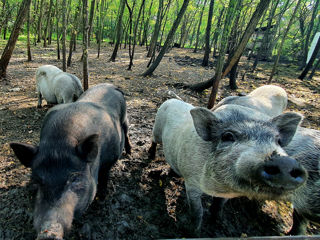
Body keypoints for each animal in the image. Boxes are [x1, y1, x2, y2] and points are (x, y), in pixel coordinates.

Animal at [10, 83, 130, 239]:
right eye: (36, 181)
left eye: (74, 179)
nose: (48, 231)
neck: (59, 144)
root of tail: (111, 85)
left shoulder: (109, 161)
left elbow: (104, 178)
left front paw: (102, 199)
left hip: (125, 119)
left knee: (127, 133)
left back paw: (129, 153)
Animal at [149, 98, 308, 233]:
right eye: (227, 136)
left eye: (278, 141)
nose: (286, 163)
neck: (216, 188)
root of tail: (171, 100)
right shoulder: (191, 182)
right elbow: (197, 211)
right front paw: (193, 231)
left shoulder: (227, 194)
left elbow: (219, 205)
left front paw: (218, 223)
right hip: (156, 128)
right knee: (154, 141)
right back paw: (150, 156)